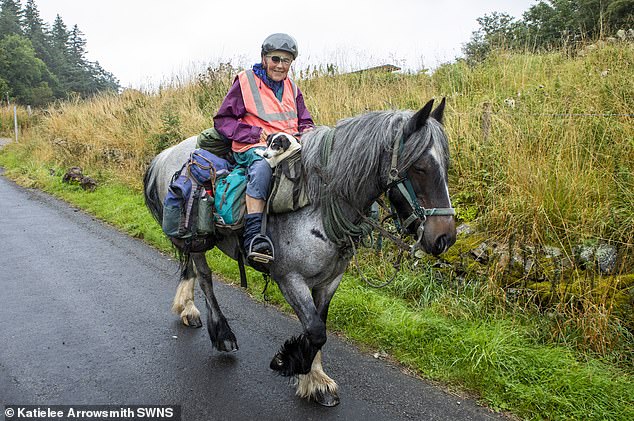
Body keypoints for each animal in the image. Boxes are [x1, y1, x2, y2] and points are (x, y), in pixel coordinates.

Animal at [143, 97, 454, 406]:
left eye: (445, 165)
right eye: (420, 167)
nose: (445, 238)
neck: (316, 203)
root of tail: (169, 153)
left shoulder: (330, 281)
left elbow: (319, 324)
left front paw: (315, 379)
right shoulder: (289, 278)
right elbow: (315, 331)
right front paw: (289, 362)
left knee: (191, 269)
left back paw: (187, 309)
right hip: (198, 240)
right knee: (205, 276)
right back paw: (222, 333)